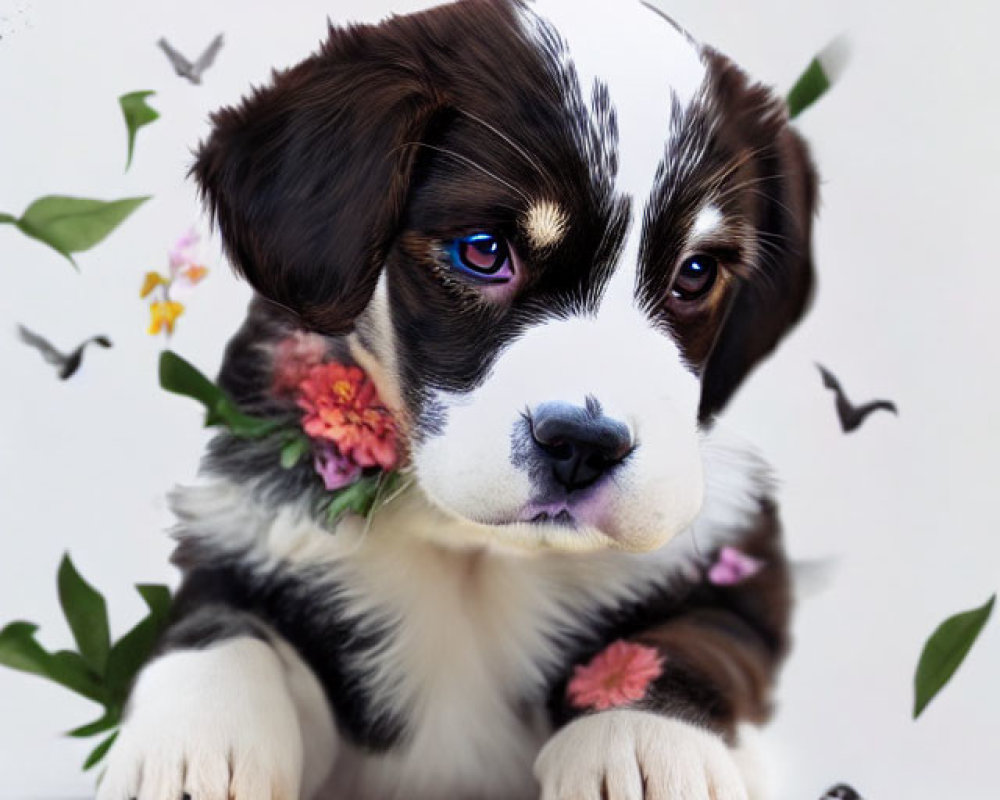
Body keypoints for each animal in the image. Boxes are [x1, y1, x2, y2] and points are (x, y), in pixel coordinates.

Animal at [97, 1, 816, 800]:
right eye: (483, 251)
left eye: (695, 272)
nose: (581, 447)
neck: (468, 545)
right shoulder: (247, 528)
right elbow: (217, 624)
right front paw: (190, 746)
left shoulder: (733, 563)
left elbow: (692, 638)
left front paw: (646, 746)